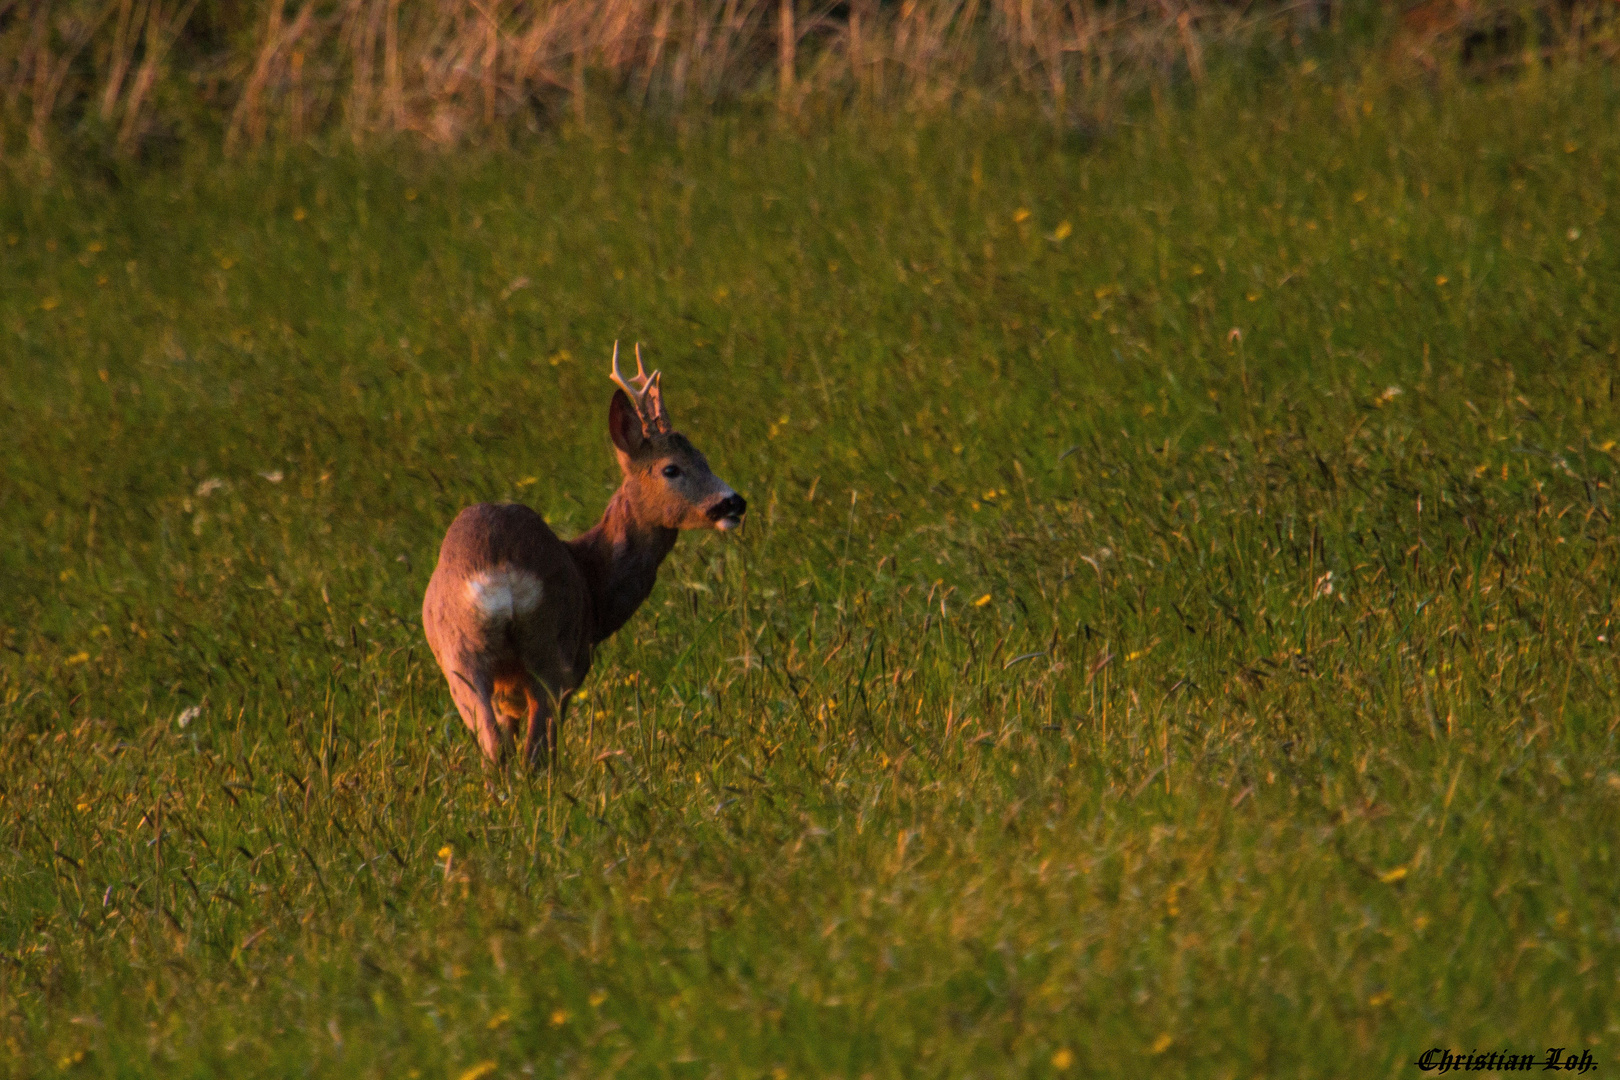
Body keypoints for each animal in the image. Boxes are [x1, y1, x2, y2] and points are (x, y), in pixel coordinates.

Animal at [421, 348, 741, 767]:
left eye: (704, 458)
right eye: (671, 468)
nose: (734, 502)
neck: (591, 575)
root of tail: (498, 576)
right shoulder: (575, 664)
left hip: (460, 658)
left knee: (495, 744)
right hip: (551, 652)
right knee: (536, 752)